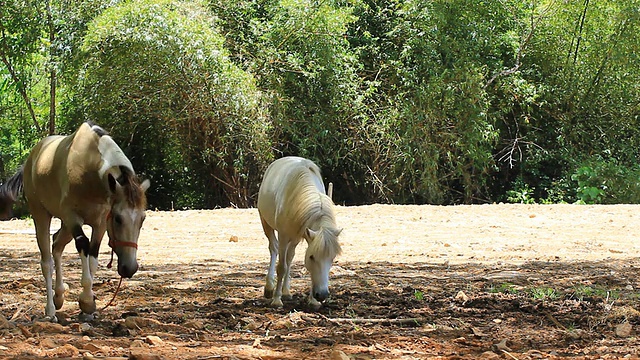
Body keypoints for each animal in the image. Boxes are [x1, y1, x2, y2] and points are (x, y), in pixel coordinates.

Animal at [258, 156, 342, 308]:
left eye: (332, 258)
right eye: (312, 257)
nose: (322, 295)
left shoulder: (302, 234)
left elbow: (291, 263)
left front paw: (313, 301)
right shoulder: (283, 236)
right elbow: (281, 267)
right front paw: (276, 300)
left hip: (295, 237)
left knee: (289, 257)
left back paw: (286, 292)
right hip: (266, 224)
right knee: (273, 249)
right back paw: (269, 288)